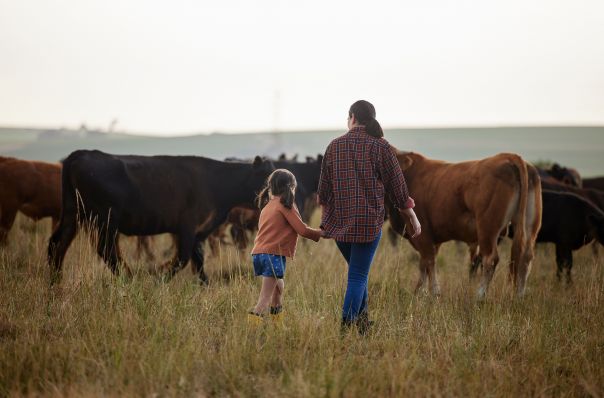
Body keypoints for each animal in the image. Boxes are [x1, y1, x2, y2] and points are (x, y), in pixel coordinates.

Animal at [47, 150, 274, 282]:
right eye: (266, 177)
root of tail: (81, 154)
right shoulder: (187, 227)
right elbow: (182, 258)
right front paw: (160, 275)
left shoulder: (200, 231)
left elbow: (198, 259)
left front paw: (204, 284)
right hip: (105, 220)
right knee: (106, 250)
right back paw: (128, 277)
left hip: (73, 214)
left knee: (58, 243)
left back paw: (56, 280)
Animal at [386, 152, 544, 298]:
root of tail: (509, 156)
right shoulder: (433, 239)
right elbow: (424, 265)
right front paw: (420, 292)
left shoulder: (423, 234)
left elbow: (429, 261)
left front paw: (432, 292)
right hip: (530, 225)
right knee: (526, 257)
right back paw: (519, 297)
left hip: (487, 228)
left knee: (490, 259)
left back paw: (480, 296)